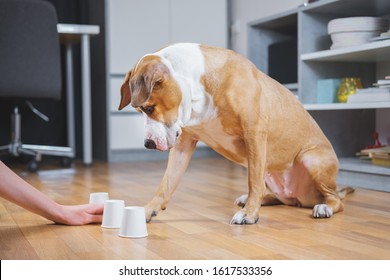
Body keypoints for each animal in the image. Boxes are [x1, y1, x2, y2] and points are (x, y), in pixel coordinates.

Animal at [117, 42, 352, 224]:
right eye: (140, 111)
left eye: (149, 108)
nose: (148, 144)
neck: (198, 86)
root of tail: (303, 197)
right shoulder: (183, 144)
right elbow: (166, 184)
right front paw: (148, 210)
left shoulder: (254, 134)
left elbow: (253, 181)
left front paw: (249, 215)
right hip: (272, 172)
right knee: (281, 196)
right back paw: (256, 199)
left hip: (311, 159)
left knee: (335, 200)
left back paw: (324, 207)